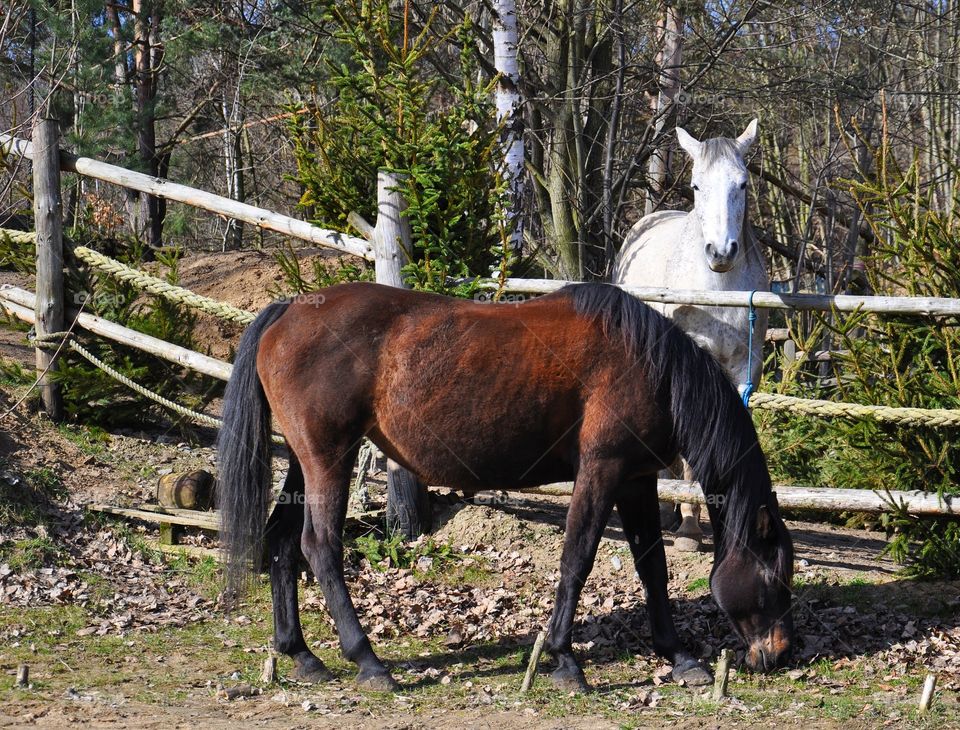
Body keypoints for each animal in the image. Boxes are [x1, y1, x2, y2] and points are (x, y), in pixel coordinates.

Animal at [219, 282, 796, 692]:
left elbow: (652, 566)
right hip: (328, 460)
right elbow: (577, 558)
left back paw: (301, 654)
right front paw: (565, 660)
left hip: (305, 463)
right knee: (320, 548)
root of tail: (288, 310)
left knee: (282, 542)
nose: (780, 653)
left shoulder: (636, 479)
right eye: (775, 576)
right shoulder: (602, 470)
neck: (651, 366)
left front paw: (678, 657)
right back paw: (369, 661)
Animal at [620, 119, 768, 548]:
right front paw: (688, 526)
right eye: (697, 186)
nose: (721, 252)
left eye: (743, 184)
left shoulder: (745, 370)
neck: (716, 292)